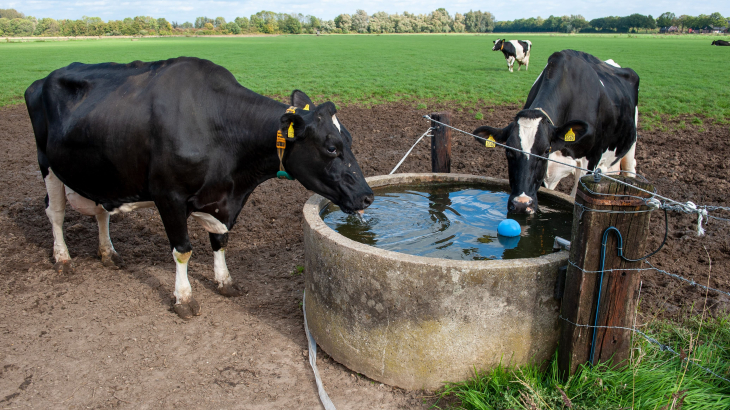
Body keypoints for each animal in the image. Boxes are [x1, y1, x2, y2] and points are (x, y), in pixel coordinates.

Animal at [25, 56, 372, 320]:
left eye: (350, 139)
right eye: (331, 148)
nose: (367, 196)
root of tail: (42, 79)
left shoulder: (223, 199)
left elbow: (220, 240)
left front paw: (224, 281)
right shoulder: (168, 195)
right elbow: (183, 250)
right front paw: (184, 298)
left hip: (102, 173)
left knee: (101, 211)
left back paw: (108, 252)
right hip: (47, 164)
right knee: (55, 212)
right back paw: (62, 258)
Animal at [472, 49, 636, 213]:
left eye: (545, 151)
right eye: (508, 151)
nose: (521, 204)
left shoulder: (590, 161)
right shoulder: (548, 170)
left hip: (630, 146)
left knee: (630, 168)